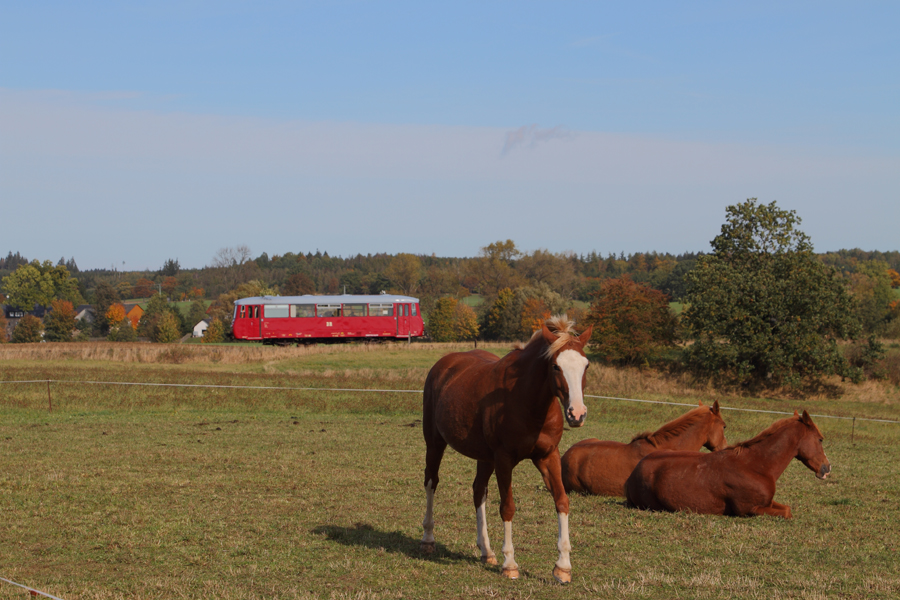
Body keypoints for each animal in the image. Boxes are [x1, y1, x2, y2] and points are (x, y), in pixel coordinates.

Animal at [420, 316, 592, 584]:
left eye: (586, 365)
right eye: (555, 366)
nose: (577, 414)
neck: (528, 401)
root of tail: (444, 365)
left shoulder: (548, 456)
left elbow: (562, 501)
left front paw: (563, 567)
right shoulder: (504, 459)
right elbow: (507, 506)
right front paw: (510, 564)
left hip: (484, 458)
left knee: (478, 491)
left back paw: (486, 551)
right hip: (435, 442)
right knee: (431, 482)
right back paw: (428, 539)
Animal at [624, 410, 828, 516]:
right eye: (820, 439)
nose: (827, 468)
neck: (755, 466)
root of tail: (633, 473)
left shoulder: (768, 503)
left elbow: (787, 508)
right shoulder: (749, 510)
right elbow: (786, 513)